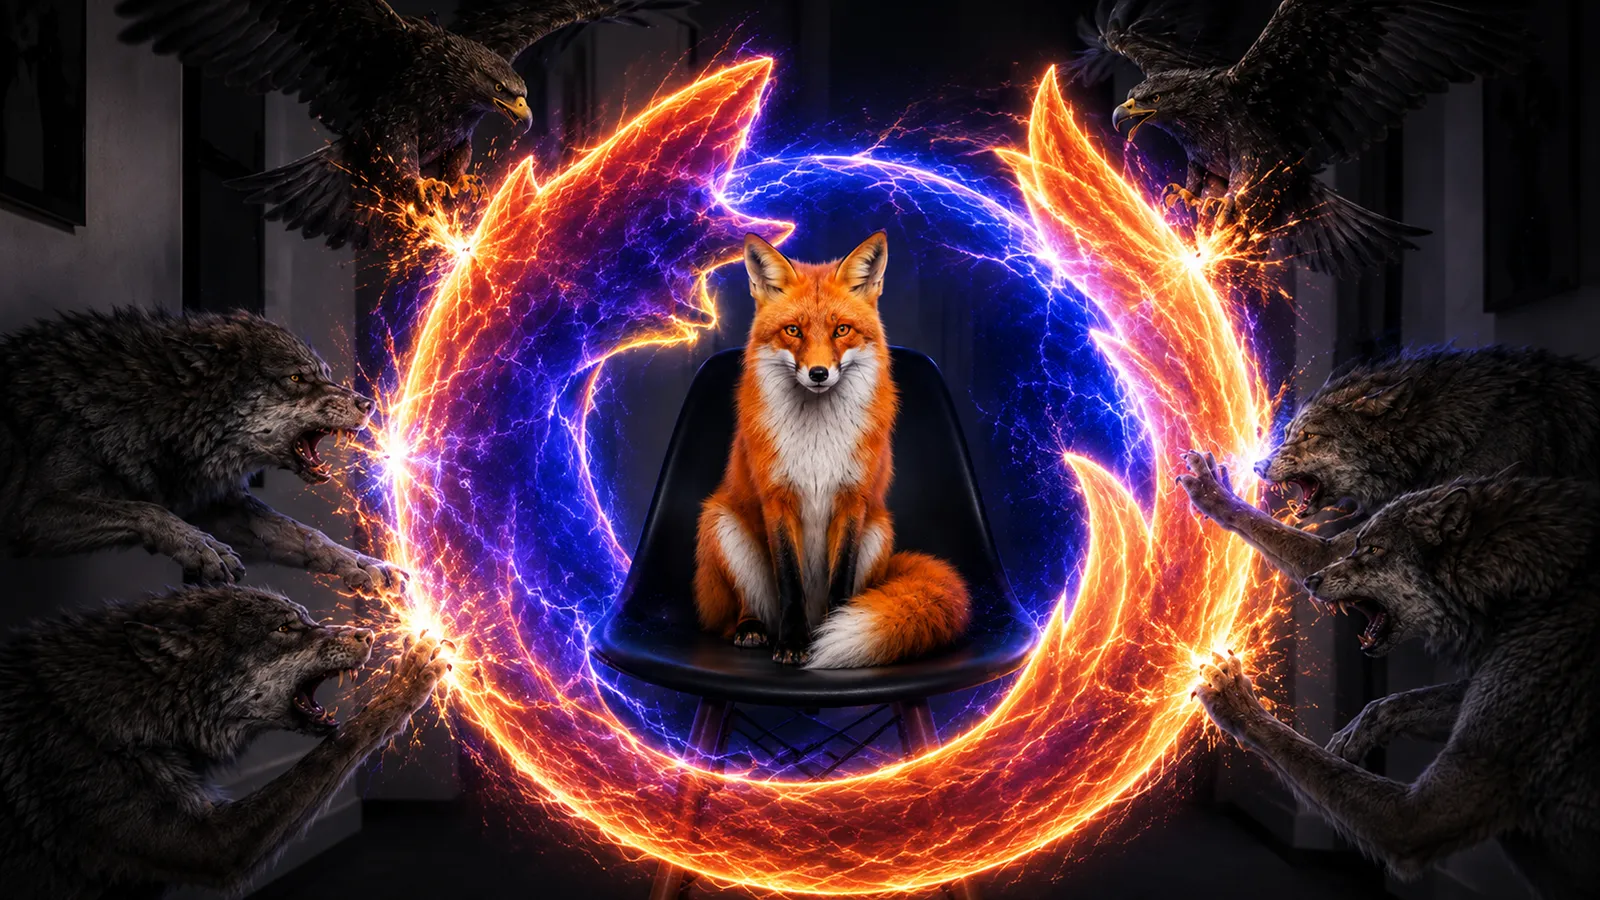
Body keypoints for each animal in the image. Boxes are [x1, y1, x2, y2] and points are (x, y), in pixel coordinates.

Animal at [693, 232, 971, 668]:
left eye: (842, 330)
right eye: (793, 330)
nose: (819, 373)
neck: (817, 440)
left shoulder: (852, 500)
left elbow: (841, 578)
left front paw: (832, 633)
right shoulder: (778, 499)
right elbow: (789, 581)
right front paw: (792, 644)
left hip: (879, 531)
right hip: (720, 524)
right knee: (740, 611)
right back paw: (752, 628)